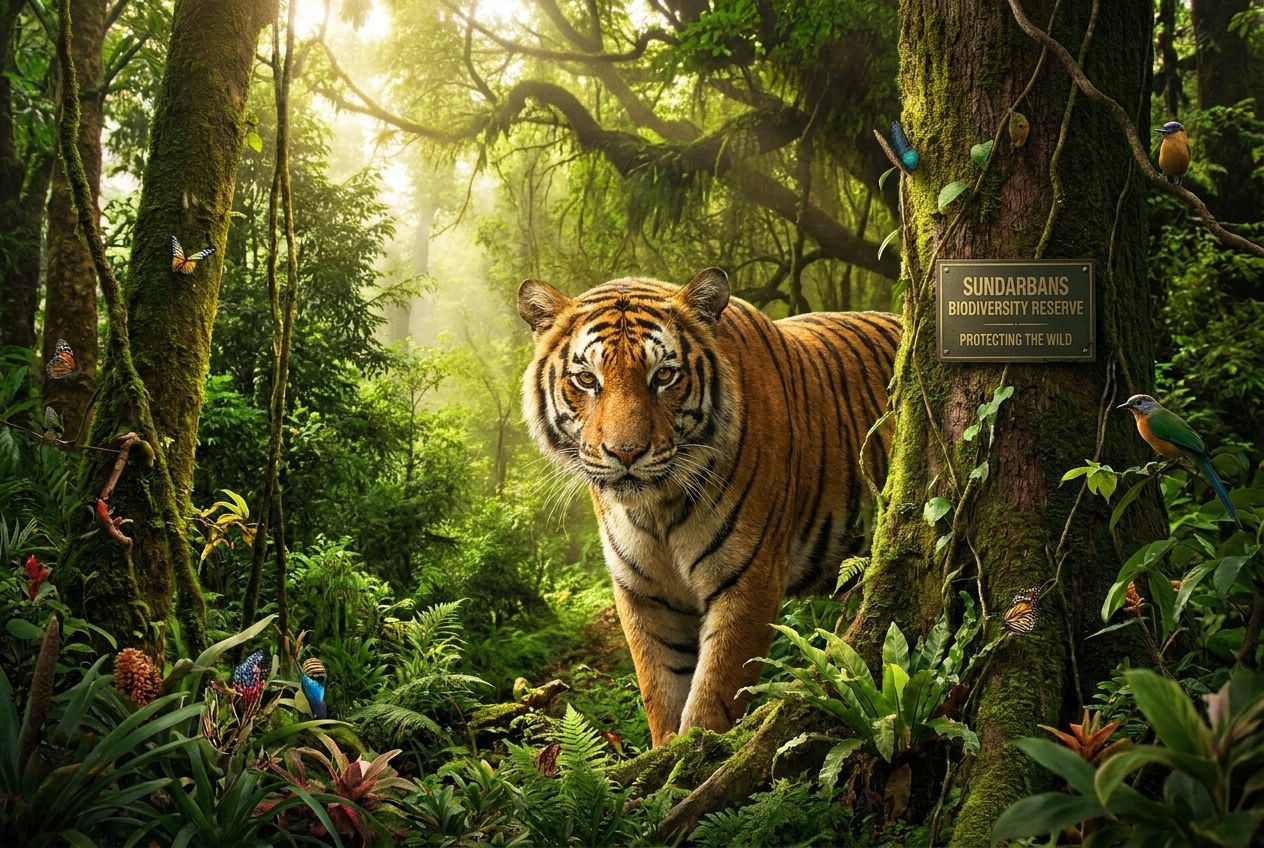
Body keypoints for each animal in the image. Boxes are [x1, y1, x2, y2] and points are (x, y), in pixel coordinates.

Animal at [517, 268, 899, 746]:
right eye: (587, 379)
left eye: (664, 376)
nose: (626, 453)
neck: (656, 508)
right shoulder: (642, 592)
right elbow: (661, 691)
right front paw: (667, 755)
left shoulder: (748, 578)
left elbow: (713, 698)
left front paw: (697, 754)